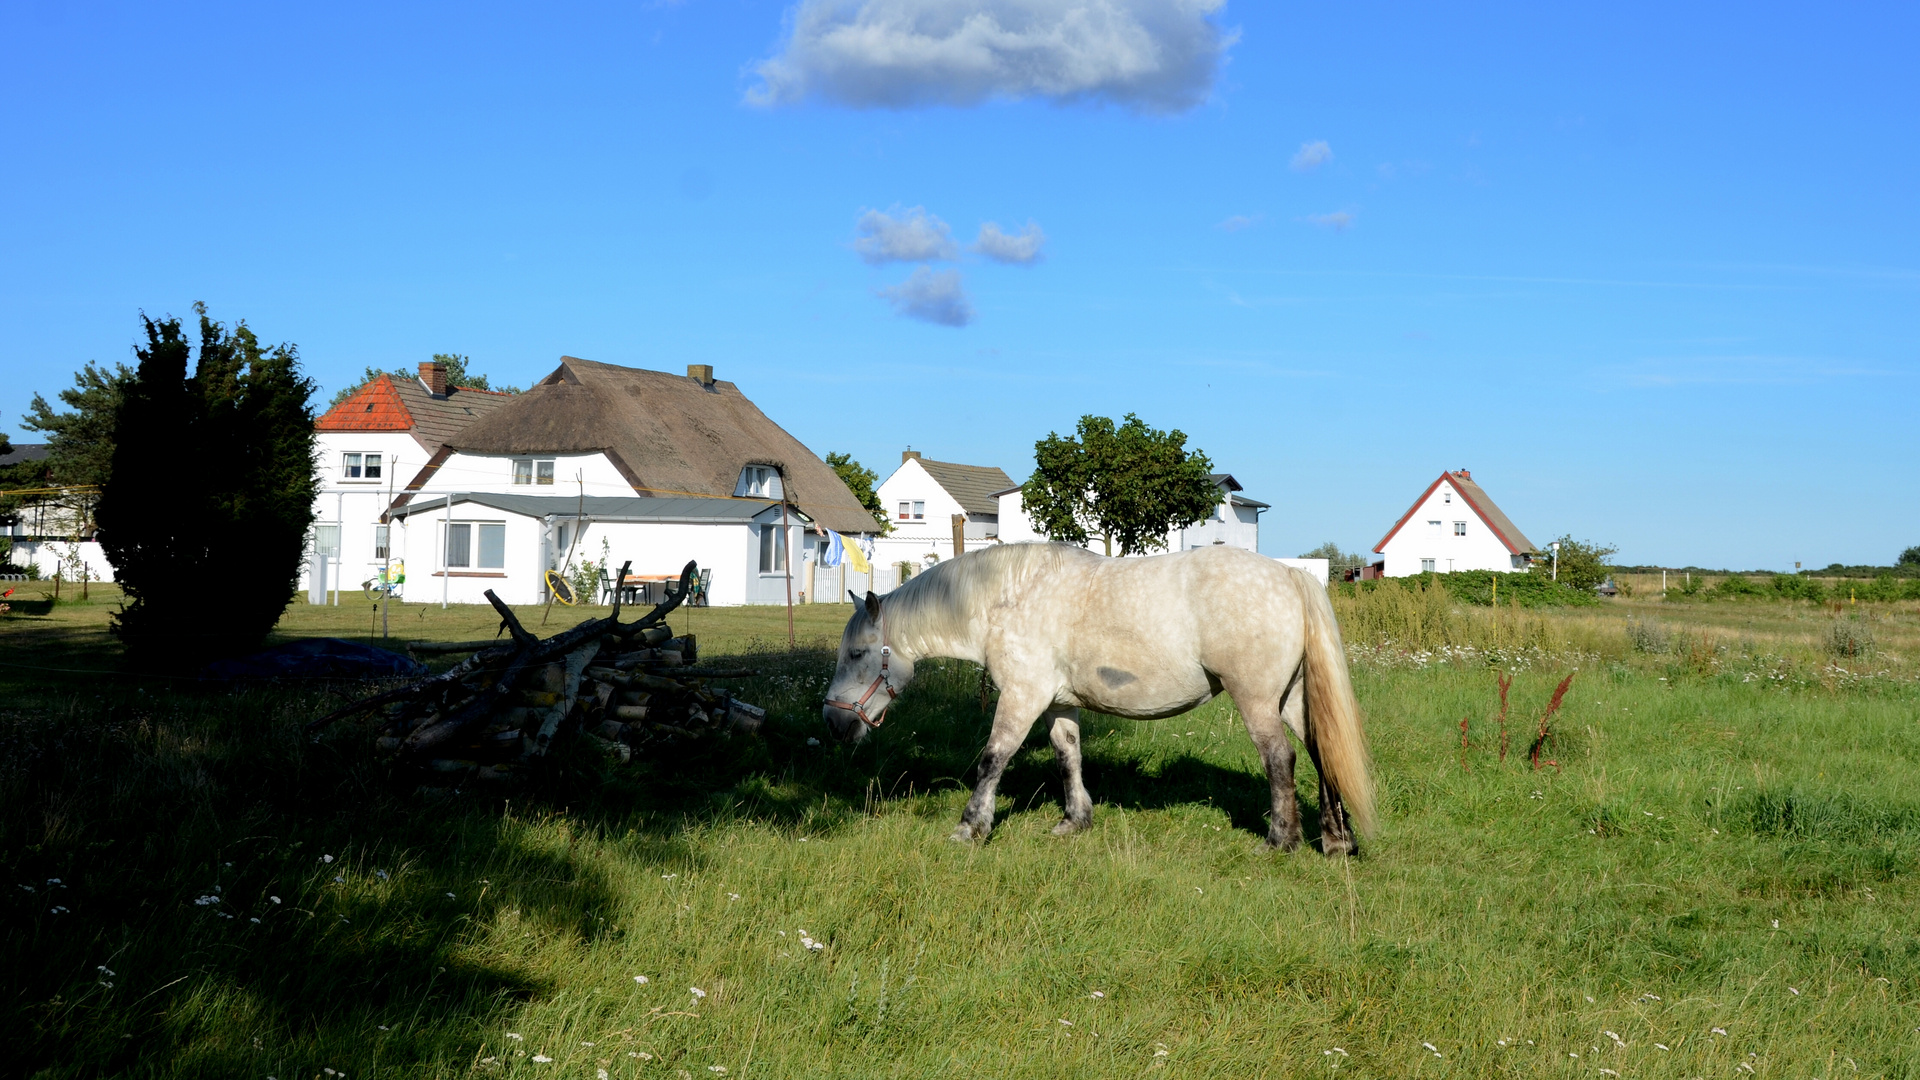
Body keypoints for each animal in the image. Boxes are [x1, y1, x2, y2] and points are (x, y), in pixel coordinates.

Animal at [817, 541, 1374, 853]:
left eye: (858, 653)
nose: (833, 723)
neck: (1004, 598)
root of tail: (1289, 574)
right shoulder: (1058, 703)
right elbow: (1068, 757)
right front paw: (1074, 821)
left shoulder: (1022, 696)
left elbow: (992, 759)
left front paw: (970, 828)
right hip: (1292, 699)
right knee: (1323, 755)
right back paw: (1336, 840)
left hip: (1257, 700)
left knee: (1281, 759)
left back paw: (1280, 840)